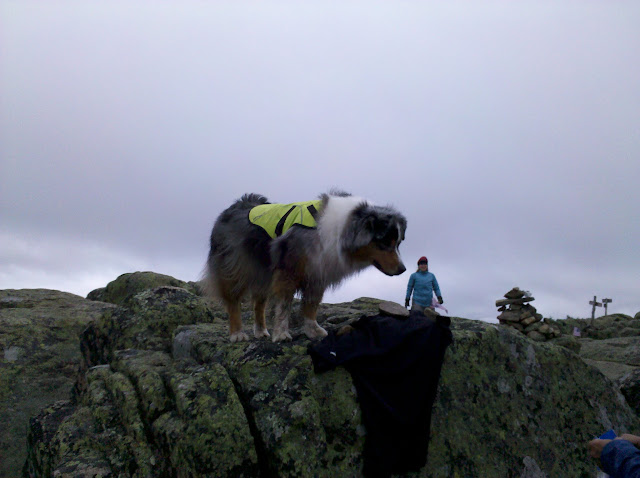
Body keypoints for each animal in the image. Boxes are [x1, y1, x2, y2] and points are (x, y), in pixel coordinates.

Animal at [204, 190, 407, 342]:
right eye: (384, 243)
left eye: (398, 243)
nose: (403, 269)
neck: (341, 230)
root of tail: (233, 207)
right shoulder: (288, 271)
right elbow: (284, 305)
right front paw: (281, 334)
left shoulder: (317, 273)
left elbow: (311, 305)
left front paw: (313, 330)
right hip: (236, 268)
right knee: (233, 301)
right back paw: (237, 333)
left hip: (263, 272)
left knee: (259, 303)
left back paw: (261, 331)